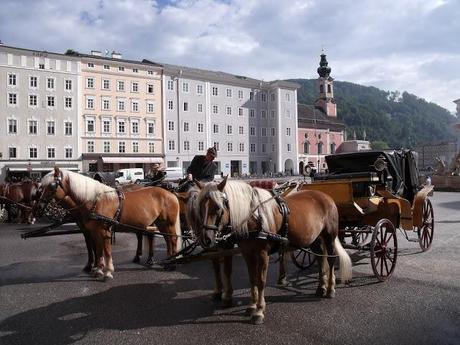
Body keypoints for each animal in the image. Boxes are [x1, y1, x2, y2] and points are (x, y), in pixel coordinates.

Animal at [36, 167, 181, 280]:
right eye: (40, 187)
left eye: (51, 186)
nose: (38, 208)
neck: (95, 200)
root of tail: (169, 192)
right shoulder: (92, 231)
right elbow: (97, 249)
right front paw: (97, 269)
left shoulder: (104, 231)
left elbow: (106, 251)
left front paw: (107, 271)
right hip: (159, 223)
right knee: (166, 239)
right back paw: (167, 260)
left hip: (168, 223)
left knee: (172, 239)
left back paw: (170, 263)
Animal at [190, 176, 352, 324]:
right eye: (200, 208)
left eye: (218, 208)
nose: (206, 239)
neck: (254, 217)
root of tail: (326, 196)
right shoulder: (247, 253)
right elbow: (252, 278)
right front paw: (252, 305)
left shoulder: (262, 253)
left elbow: (261, 280)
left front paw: (259, 311)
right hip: (314, 238)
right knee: (320, 258)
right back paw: (321, 287)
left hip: (329, 236)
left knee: (330, 259)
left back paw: (330, 289)